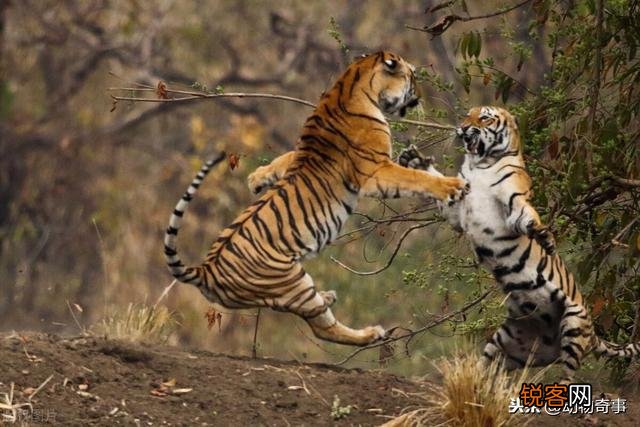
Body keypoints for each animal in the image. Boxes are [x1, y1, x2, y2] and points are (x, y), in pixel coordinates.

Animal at [164, 52, 467, 347]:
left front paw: (256, 178)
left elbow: (283, 158)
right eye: (412, 76)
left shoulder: (300, 154)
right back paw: (369, 333)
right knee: (324, 328)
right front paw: (452, 186)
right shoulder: (374, 171)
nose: (421, 96)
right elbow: (415, 179)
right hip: (294, 285)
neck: (349, 86)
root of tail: (207, 270)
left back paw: (329, 297)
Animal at [398, 106, 639, 382]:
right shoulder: (457, 211)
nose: (463, 127)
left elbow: (527, 218)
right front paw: (414, 159)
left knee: (569, 374)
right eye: (467, 115)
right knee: (489, 366)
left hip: (573, 325)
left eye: (484, 118)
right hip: (504, 341)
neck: (479, 165)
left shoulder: (513, 201)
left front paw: (544, 237)